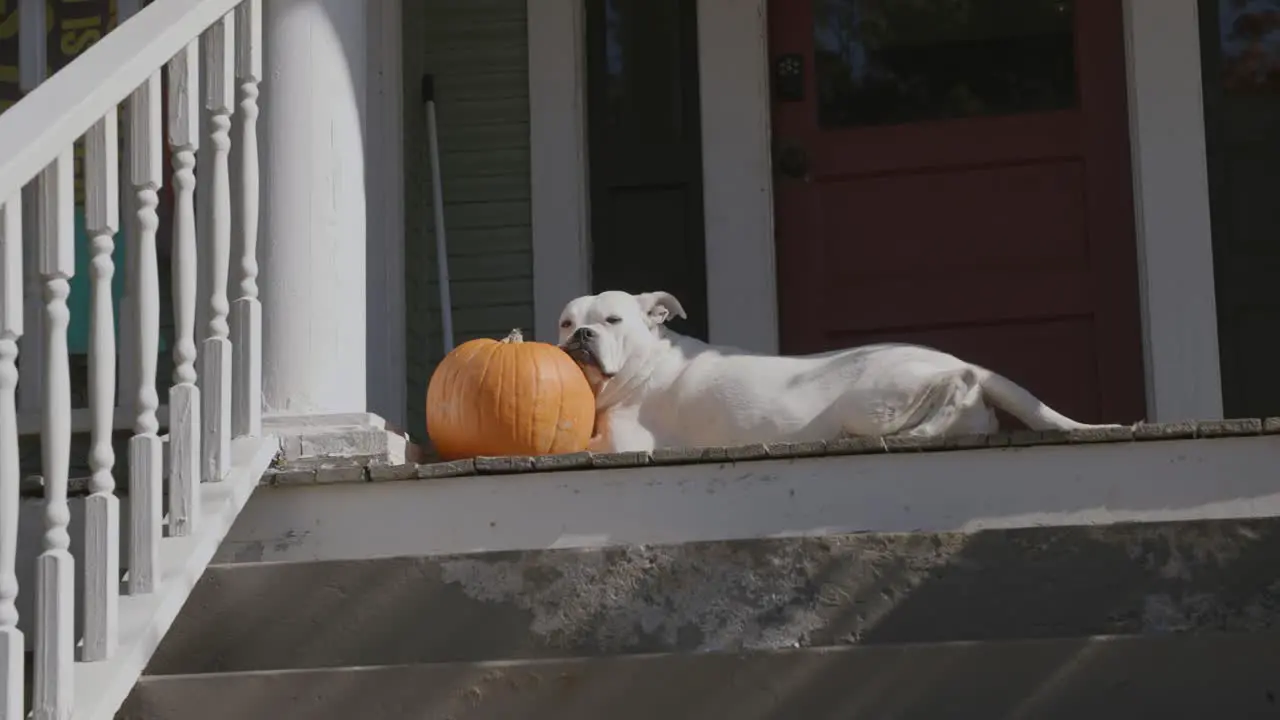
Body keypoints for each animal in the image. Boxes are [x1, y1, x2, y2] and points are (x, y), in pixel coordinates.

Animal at [560, 288, 1121, 450]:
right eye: (566, 322)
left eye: (611, 320)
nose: (580, 336)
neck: (644, 363)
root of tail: (964, 361)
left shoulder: (622, 442)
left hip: (869, 400)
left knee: (952, 387)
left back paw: (918, 431)